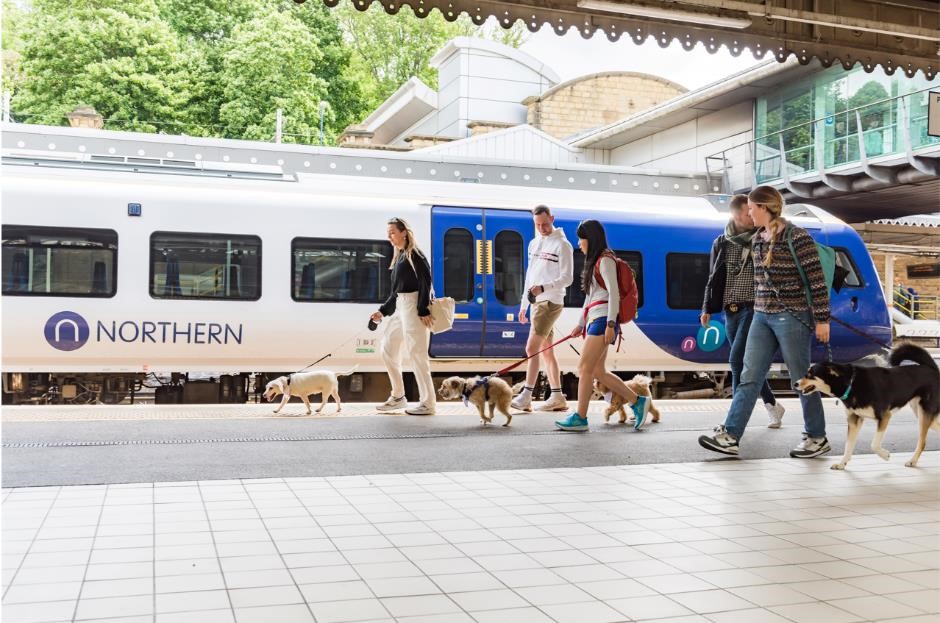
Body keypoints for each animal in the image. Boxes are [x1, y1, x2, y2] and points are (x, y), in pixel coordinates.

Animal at [792, 344, 940, 470]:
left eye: (810, 374)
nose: (795, 384)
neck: (852, 383)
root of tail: (932, 368)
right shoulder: (854, 420)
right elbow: (848, 445)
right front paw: (842, 463)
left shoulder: (884, 416)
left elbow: (874, 444)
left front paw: (885, 455)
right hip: (921, 413)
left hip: (924, 414)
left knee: (922, 442)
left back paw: (912, 461)